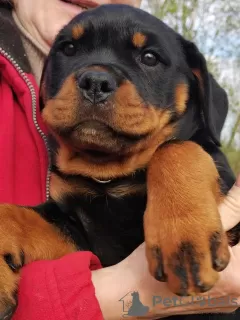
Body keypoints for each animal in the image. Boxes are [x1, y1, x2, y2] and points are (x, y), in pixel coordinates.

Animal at [0, 3, 238, 320]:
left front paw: (185, 237)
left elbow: (176, 147)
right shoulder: (77, 230)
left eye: (149, 57)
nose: (95, 82)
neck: (110, 175)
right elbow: (20, 214)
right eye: (69, 48)